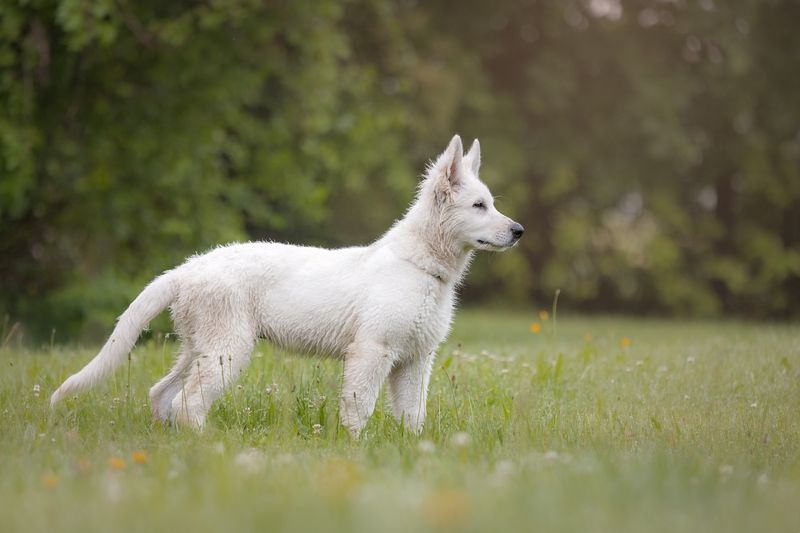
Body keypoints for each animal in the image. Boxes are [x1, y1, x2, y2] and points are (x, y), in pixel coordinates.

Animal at [50, 135, 524, 434]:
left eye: (491, 203)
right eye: (478, 206)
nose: (519, 231)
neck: (420, 264)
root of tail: (187, 269)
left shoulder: (415, 361)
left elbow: (413, 415)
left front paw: (413, 451)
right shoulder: (372, 351)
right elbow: (360, 407)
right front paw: (355, 449)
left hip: (200, 346)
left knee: (162, 394)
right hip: (228, 348)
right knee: (188, 402)